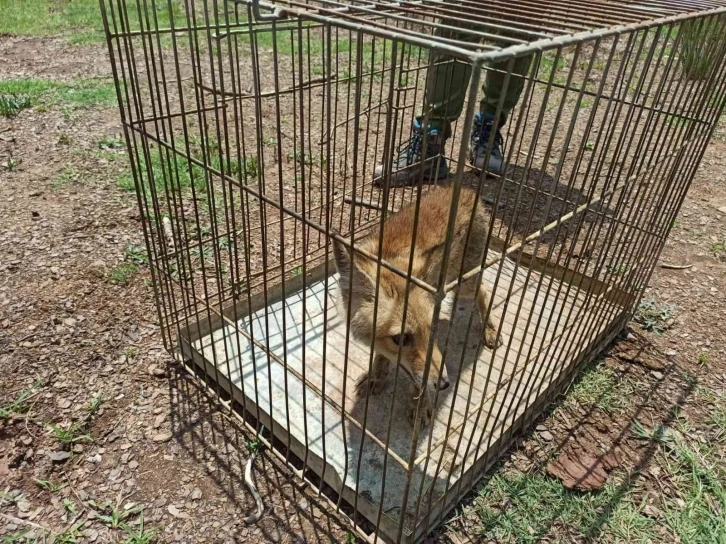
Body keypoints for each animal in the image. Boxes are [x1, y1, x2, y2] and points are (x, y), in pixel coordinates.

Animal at [334, 185, 500, 428]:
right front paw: (377, 375)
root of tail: (467, 190)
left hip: (463, 284)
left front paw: (421, 406)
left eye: (433, 328)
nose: (445, 384)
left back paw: (490, 329)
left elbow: (418, 382)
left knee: (485, 289)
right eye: (401, 338)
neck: (390, 259)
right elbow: (383, 357)